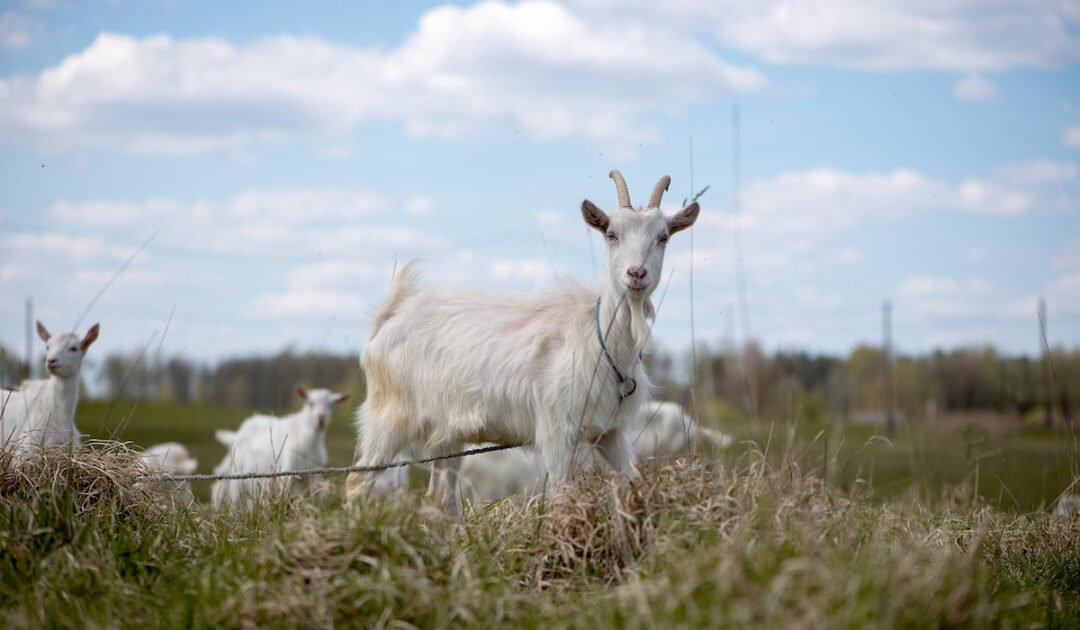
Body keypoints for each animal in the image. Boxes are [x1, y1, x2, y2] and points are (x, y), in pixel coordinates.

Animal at [211, 386, 349, 508]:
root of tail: (238, 433)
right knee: (225, 493)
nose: (321, 418)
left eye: (331, 405)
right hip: (235, 472)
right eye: (311, 403)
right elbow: (286, 494)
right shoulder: (287, 472)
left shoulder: (314, 475)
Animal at [347, 170, 700, 517]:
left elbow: (632, 480)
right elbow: (562, 495)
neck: (602, 337)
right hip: (389, 417)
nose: (636, 274)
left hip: (447, 431)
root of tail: (388, 319)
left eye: (663, 236)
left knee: (440, 495)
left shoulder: (609, 431)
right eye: (612, 234)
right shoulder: (558, 431)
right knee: (356, 483)